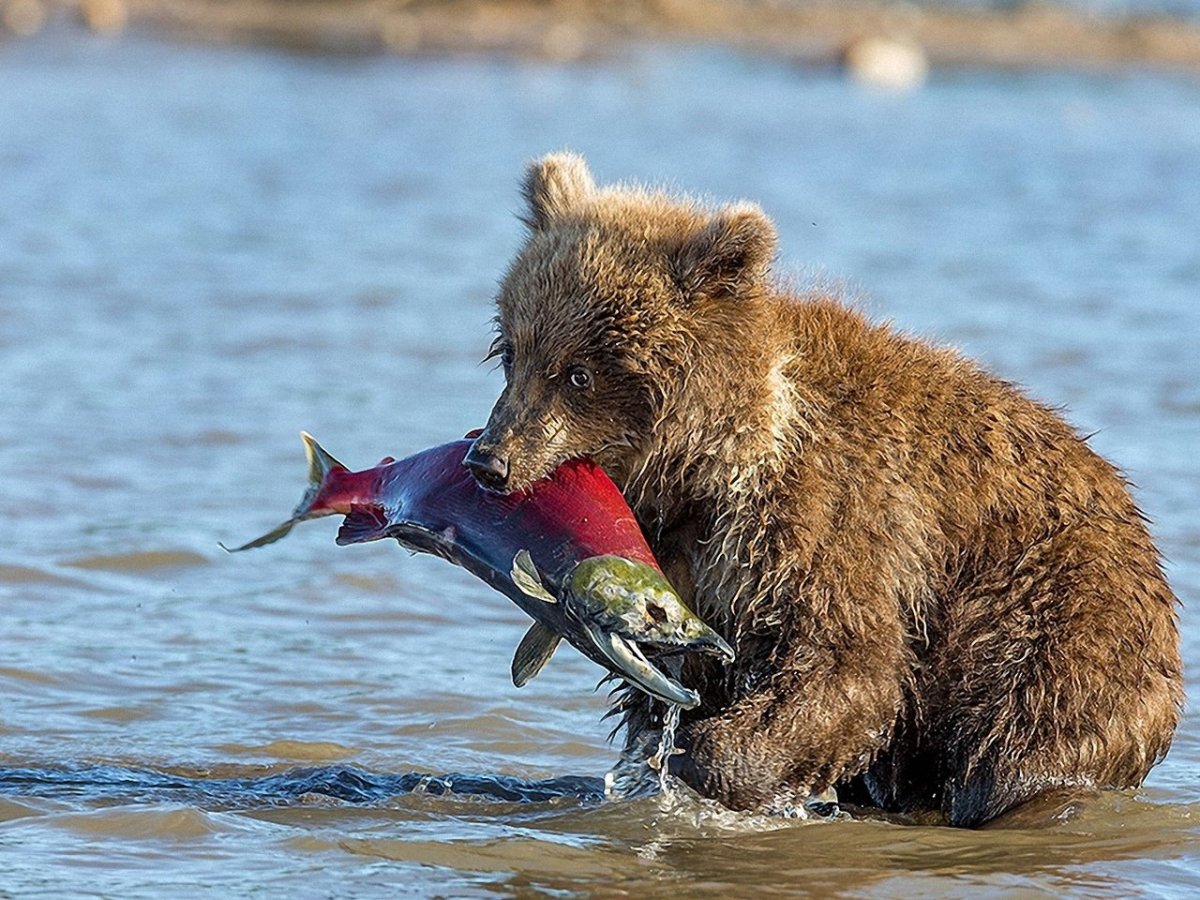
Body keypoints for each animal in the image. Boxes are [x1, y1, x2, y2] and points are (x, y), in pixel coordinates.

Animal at [463, 152, 1183, 827]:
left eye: (579, 373)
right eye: (513, 350)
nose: (489, 459)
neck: (710, 460)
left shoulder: (827, 514)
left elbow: (846, 663)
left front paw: (707, 756)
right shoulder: (687, 560)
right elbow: (678, 674)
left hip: (1047, 611)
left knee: (1021, 735)